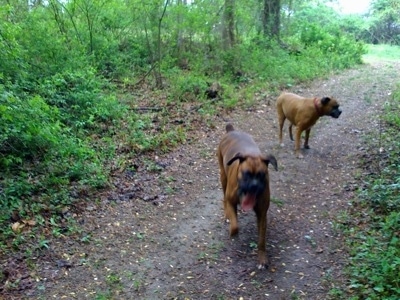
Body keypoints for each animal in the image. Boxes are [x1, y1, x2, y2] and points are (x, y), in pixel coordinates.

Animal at [217, 124, 276, 270]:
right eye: (246, 174)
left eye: (262, 175)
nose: (254, 186)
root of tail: (231, 131)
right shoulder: (231, 202)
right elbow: (235, 225)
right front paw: (233, 233)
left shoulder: (262, 214)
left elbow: (261, 240)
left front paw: (262, 258)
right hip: (223, 177)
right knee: (224, 198)